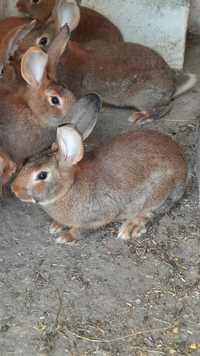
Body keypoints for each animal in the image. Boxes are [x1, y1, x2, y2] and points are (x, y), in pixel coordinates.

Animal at [12, 94, 189, 245]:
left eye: (42, 175)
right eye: (27, 161)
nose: (14, 190)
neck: (68, 188)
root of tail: (183, 164)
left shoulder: (97, 217)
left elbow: (81, 230)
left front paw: (66, 236)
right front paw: (56, 225)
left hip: (158, 193)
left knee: (152, 211)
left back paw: (130, 228)